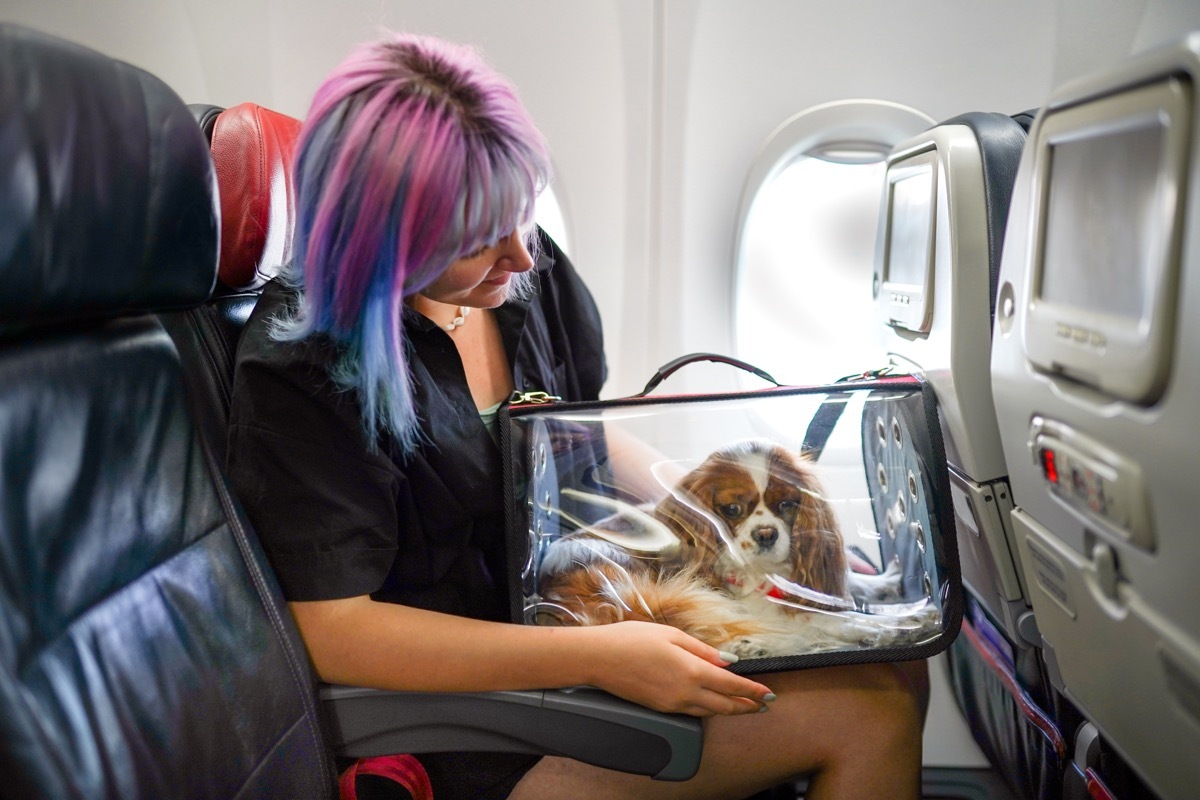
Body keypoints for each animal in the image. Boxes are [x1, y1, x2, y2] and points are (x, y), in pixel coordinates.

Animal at [535, 438, 936, 657]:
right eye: (731, 510)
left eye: (787, 504)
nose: (766, 534)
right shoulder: (755, 605)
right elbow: (832, 619)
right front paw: (901, 622)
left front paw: (883, 583)